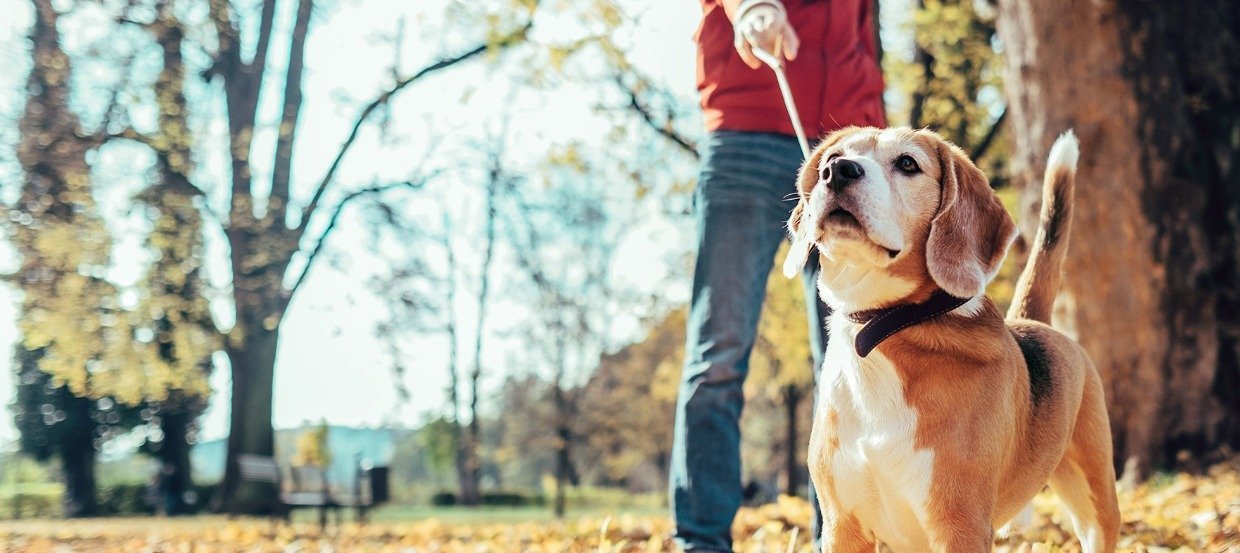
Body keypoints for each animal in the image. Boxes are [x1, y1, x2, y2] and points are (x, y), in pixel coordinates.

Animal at [783, 127, 1125, 550]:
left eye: (908, 163)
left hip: (1097, 503)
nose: (838, 171)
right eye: (832, 157)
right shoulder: (842, 526)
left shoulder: (961, 526)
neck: (881, 328)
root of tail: (1029, 321)